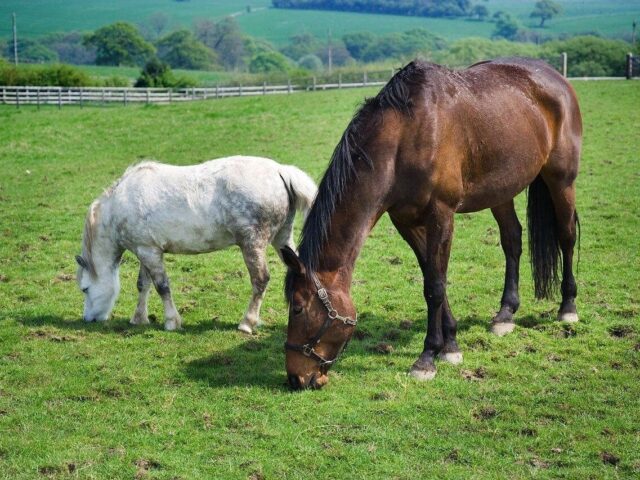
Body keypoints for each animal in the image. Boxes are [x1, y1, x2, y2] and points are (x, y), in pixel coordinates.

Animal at [76, 155, 317, 333]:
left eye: (85, 288)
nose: (89, 319)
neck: (120, 204)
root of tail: (280, 171)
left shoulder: (150, 253)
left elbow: (162, 286)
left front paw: (171, 322)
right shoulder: (146, 251)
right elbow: (143, 285)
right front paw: (139, 318)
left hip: (252, 244)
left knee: (260, 280)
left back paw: (247, 323)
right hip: (282, 239)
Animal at [282, 58, 582, 389]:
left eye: (298, 308)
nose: (296, 378)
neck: (405, 137)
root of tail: (554, 75)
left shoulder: (442, 214)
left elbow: (435, 286)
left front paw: (427, 357)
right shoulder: (406, 221)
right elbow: (431, 275)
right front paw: (450, 344)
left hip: (561, 179)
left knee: (566, 236)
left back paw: (568, 307)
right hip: (501, 190)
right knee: (512, 241)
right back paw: (505, 314)